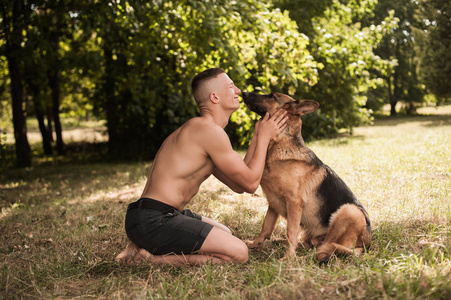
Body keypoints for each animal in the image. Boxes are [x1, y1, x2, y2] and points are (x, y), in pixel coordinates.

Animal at [242, 92, 372, 262]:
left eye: (272, 96)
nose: (244, 93)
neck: (280, 144)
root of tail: (366, 244)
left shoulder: (294, 203)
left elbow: (290, 231)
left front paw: (288, 258)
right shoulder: (273, 203)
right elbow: (266, 227)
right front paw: (255, 243)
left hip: (349, 211)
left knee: (326, 248)